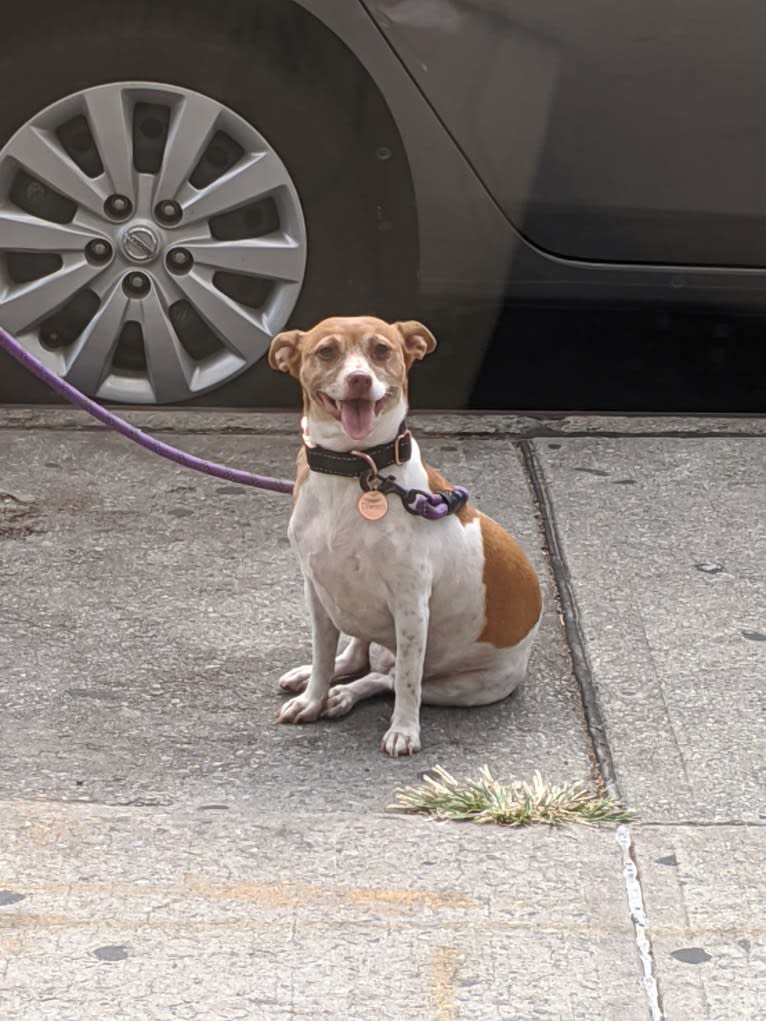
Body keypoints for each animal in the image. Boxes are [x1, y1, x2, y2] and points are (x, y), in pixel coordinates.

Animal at [267, 314, 539, 755]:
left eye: (381, 349)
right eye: (326, 351)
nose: (359, 379)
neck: (356, 468)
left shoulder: (411, 607)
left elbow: (409, 682)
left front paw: (404, 730)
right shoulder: (318, 592)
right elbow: (324, 656)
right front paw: (312, 697)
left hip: (468, 687)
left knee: (388, 678)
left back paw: (347, 695)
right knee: (357, 658)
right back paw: (322, 683)